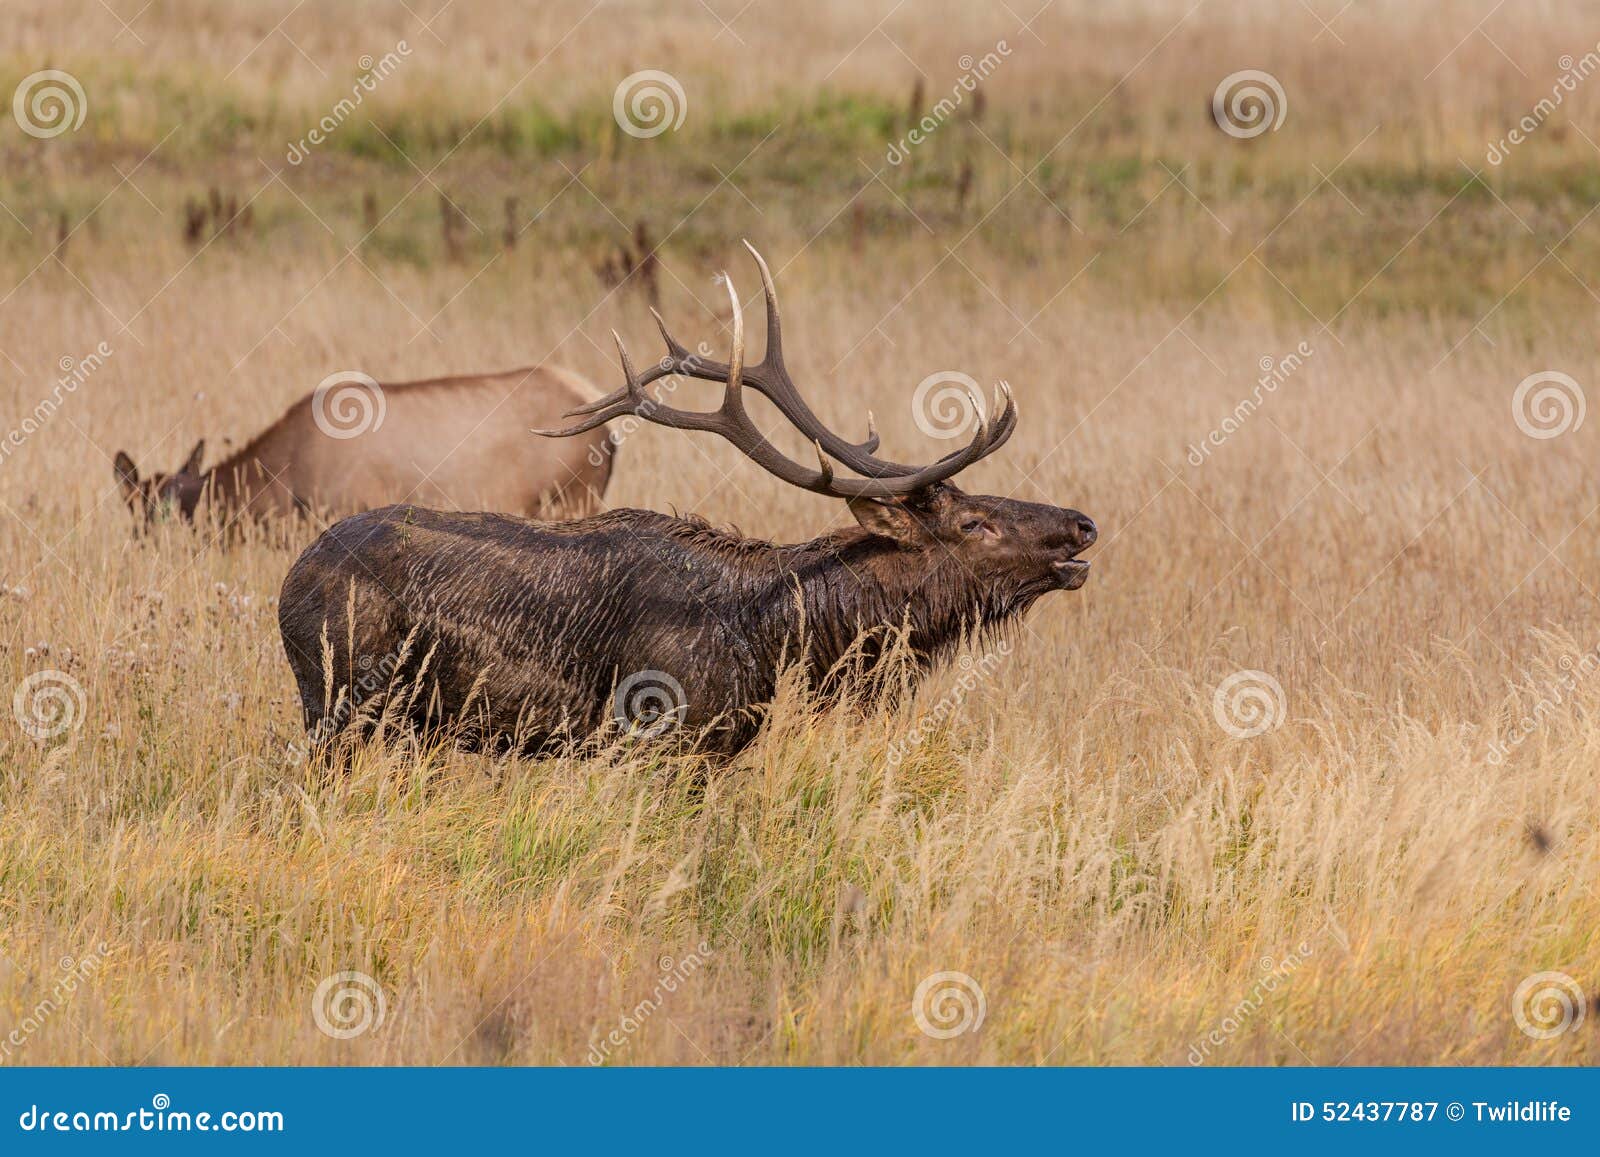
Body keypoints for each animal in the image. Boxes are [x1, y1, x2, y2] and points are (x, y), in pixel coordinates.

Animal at [277, 243, 1097, 757]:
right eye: (975, 523)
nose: (1081, 525)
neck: (771, 640)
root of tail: (289, 582)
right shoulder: (659, 735)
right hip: (337, 703)